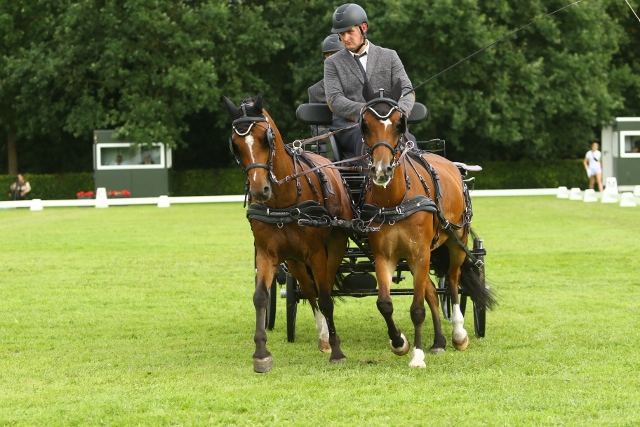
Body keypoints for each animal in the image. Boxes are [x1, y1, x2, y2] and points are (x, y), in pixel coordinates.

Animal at [222, 94, 353, 372]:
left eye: (265, 138)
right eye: (235, 145)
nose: (260, 189)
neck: (282, 202)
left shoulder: (317, 253)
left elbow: (326, 297)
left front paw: (337, 351)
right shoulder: (267, 253)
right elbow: (261, 297)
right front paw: (261, 354)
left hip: (333, 246)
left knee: (324, 289)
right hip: (294, 261)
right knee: (310, 290)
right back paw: (323, 336)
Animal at [358, 80, 496, 368]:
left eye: (399, 124)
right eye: (365, 125)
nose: (381, 171)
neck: (396, 200)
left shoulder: (419, 253)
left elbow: (417, 308)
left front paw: (417, 355)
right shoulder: (384, 256)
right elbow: (385, 303)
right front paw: (400, 342)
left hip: (455, 242)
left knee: (453, 282)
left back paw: (458, 334)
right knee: (432, 291)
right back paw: (439, 342)